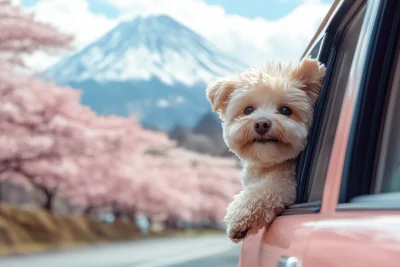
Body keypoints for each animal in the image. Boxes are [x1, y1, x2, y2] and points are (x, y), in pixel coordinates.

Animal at [206, 57, 324, 244]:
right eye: (248, 109)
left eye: (286, 110)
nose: (262, 123)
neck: (268, 163)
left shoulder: (285, 183)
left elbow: (262, 191)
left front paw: (238, 219)